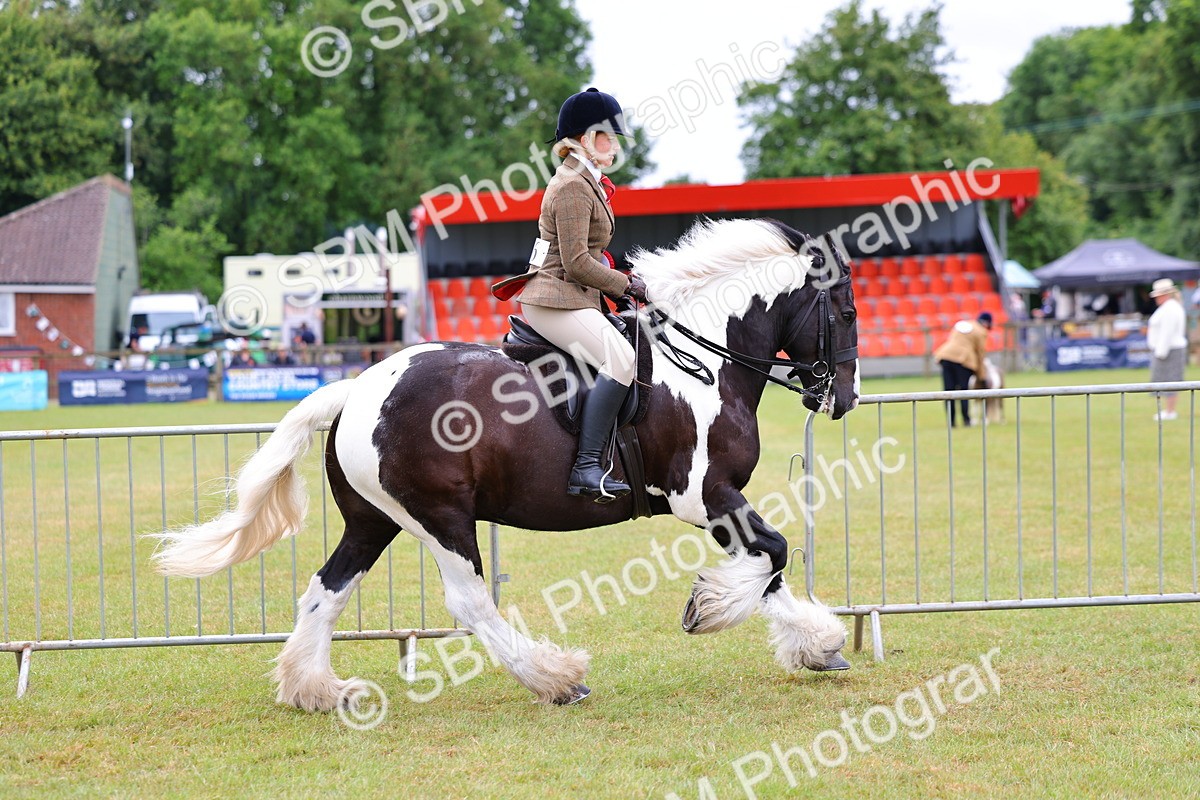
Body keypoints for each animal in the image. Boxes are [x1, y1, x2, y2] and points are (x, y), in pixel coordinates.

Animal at [150, 218, 861, 709]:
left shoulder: (718, 502)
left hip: (373, 522)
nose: (846, 399)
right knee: (469, 603)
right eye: (849, 310)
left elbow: (771, 563)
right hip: (441, 518)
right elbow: (773, 552)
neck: (703, 363)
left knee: (325, 591)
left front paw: (817, 646)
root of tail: (355, 390)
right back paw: (557, 679)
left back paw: (315, 691)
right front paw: (710, 608)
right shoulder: (705, 495)